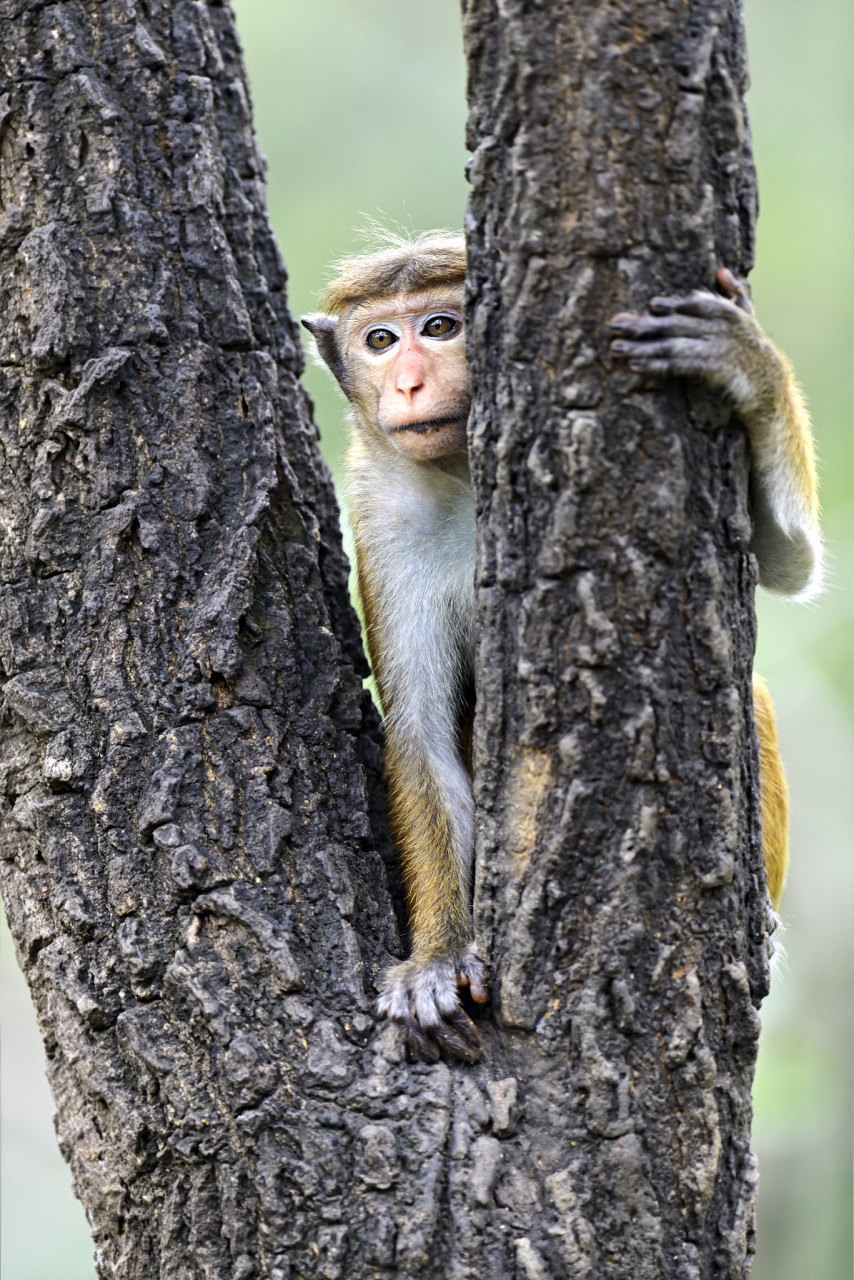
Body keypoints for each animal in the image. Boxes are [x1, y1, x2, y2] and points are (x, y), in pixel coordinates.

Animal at [302, 235, 819, 1064]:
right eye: (379, 340)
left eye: (440, 327)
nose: (409, 381)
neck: (462, 473)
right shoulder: (384, 517)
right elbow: (421, 736)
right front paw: (437, 959)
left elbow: (789, 561)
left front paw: (750, 364)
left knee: (753, 693)